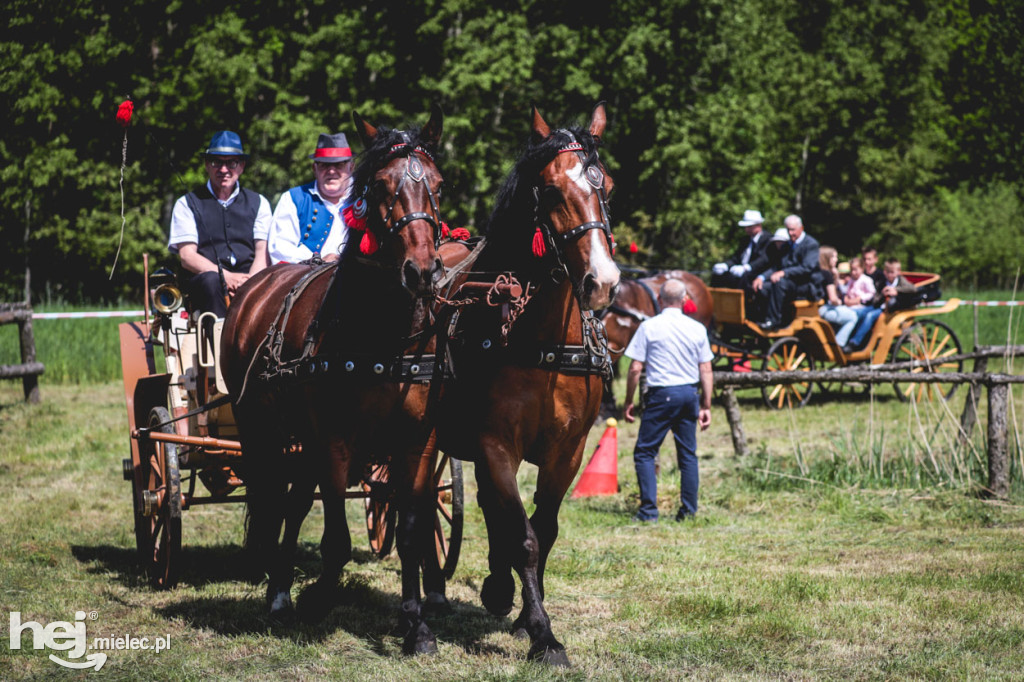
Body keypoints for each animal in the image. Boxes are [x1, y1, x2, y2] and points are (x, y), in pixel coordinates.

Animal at [222, 107, 450, 655]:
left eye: (436, 185)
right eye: (383, 187)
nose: (423, 271)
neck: (384, 333)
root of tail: (253, 290)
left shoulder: (418, 441)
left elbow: (411, 531)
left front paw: (417, 625)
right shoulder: (335, 439)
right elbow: (337, 539)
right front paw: (319, 598)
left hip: (301, 438)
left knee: (294, 500)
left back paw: (281, 589)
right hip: (260, 430)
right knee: (272, 498)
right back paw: (275, 588)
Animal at [436, 102, 618, 663]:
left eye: (606, 187)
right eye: (553, 190)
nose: (602, 282)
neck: (542, 344)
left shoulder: (568, 451)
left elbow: (544, 528)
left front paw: (521, 615)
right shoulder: (496, 445)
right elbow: (524, 538)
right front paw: (543, 634)